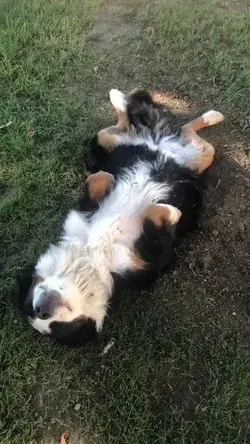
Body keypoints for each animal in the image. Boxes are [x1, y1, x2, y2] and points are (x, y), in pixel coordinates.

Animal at [18, 88, 224, 346]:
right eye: (55, 327)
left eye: (31, 306)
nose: (41, 310)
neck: (92, 256)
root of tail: (158, 142)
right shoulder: (151, 257)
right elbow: (153, 215)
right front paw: (174, 213)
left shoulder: (85, 210)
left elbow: (98, 178)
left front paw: (111, 180)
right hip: (200, 156)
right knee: (186, 132)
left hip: (109, 141)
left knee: (137, 124)